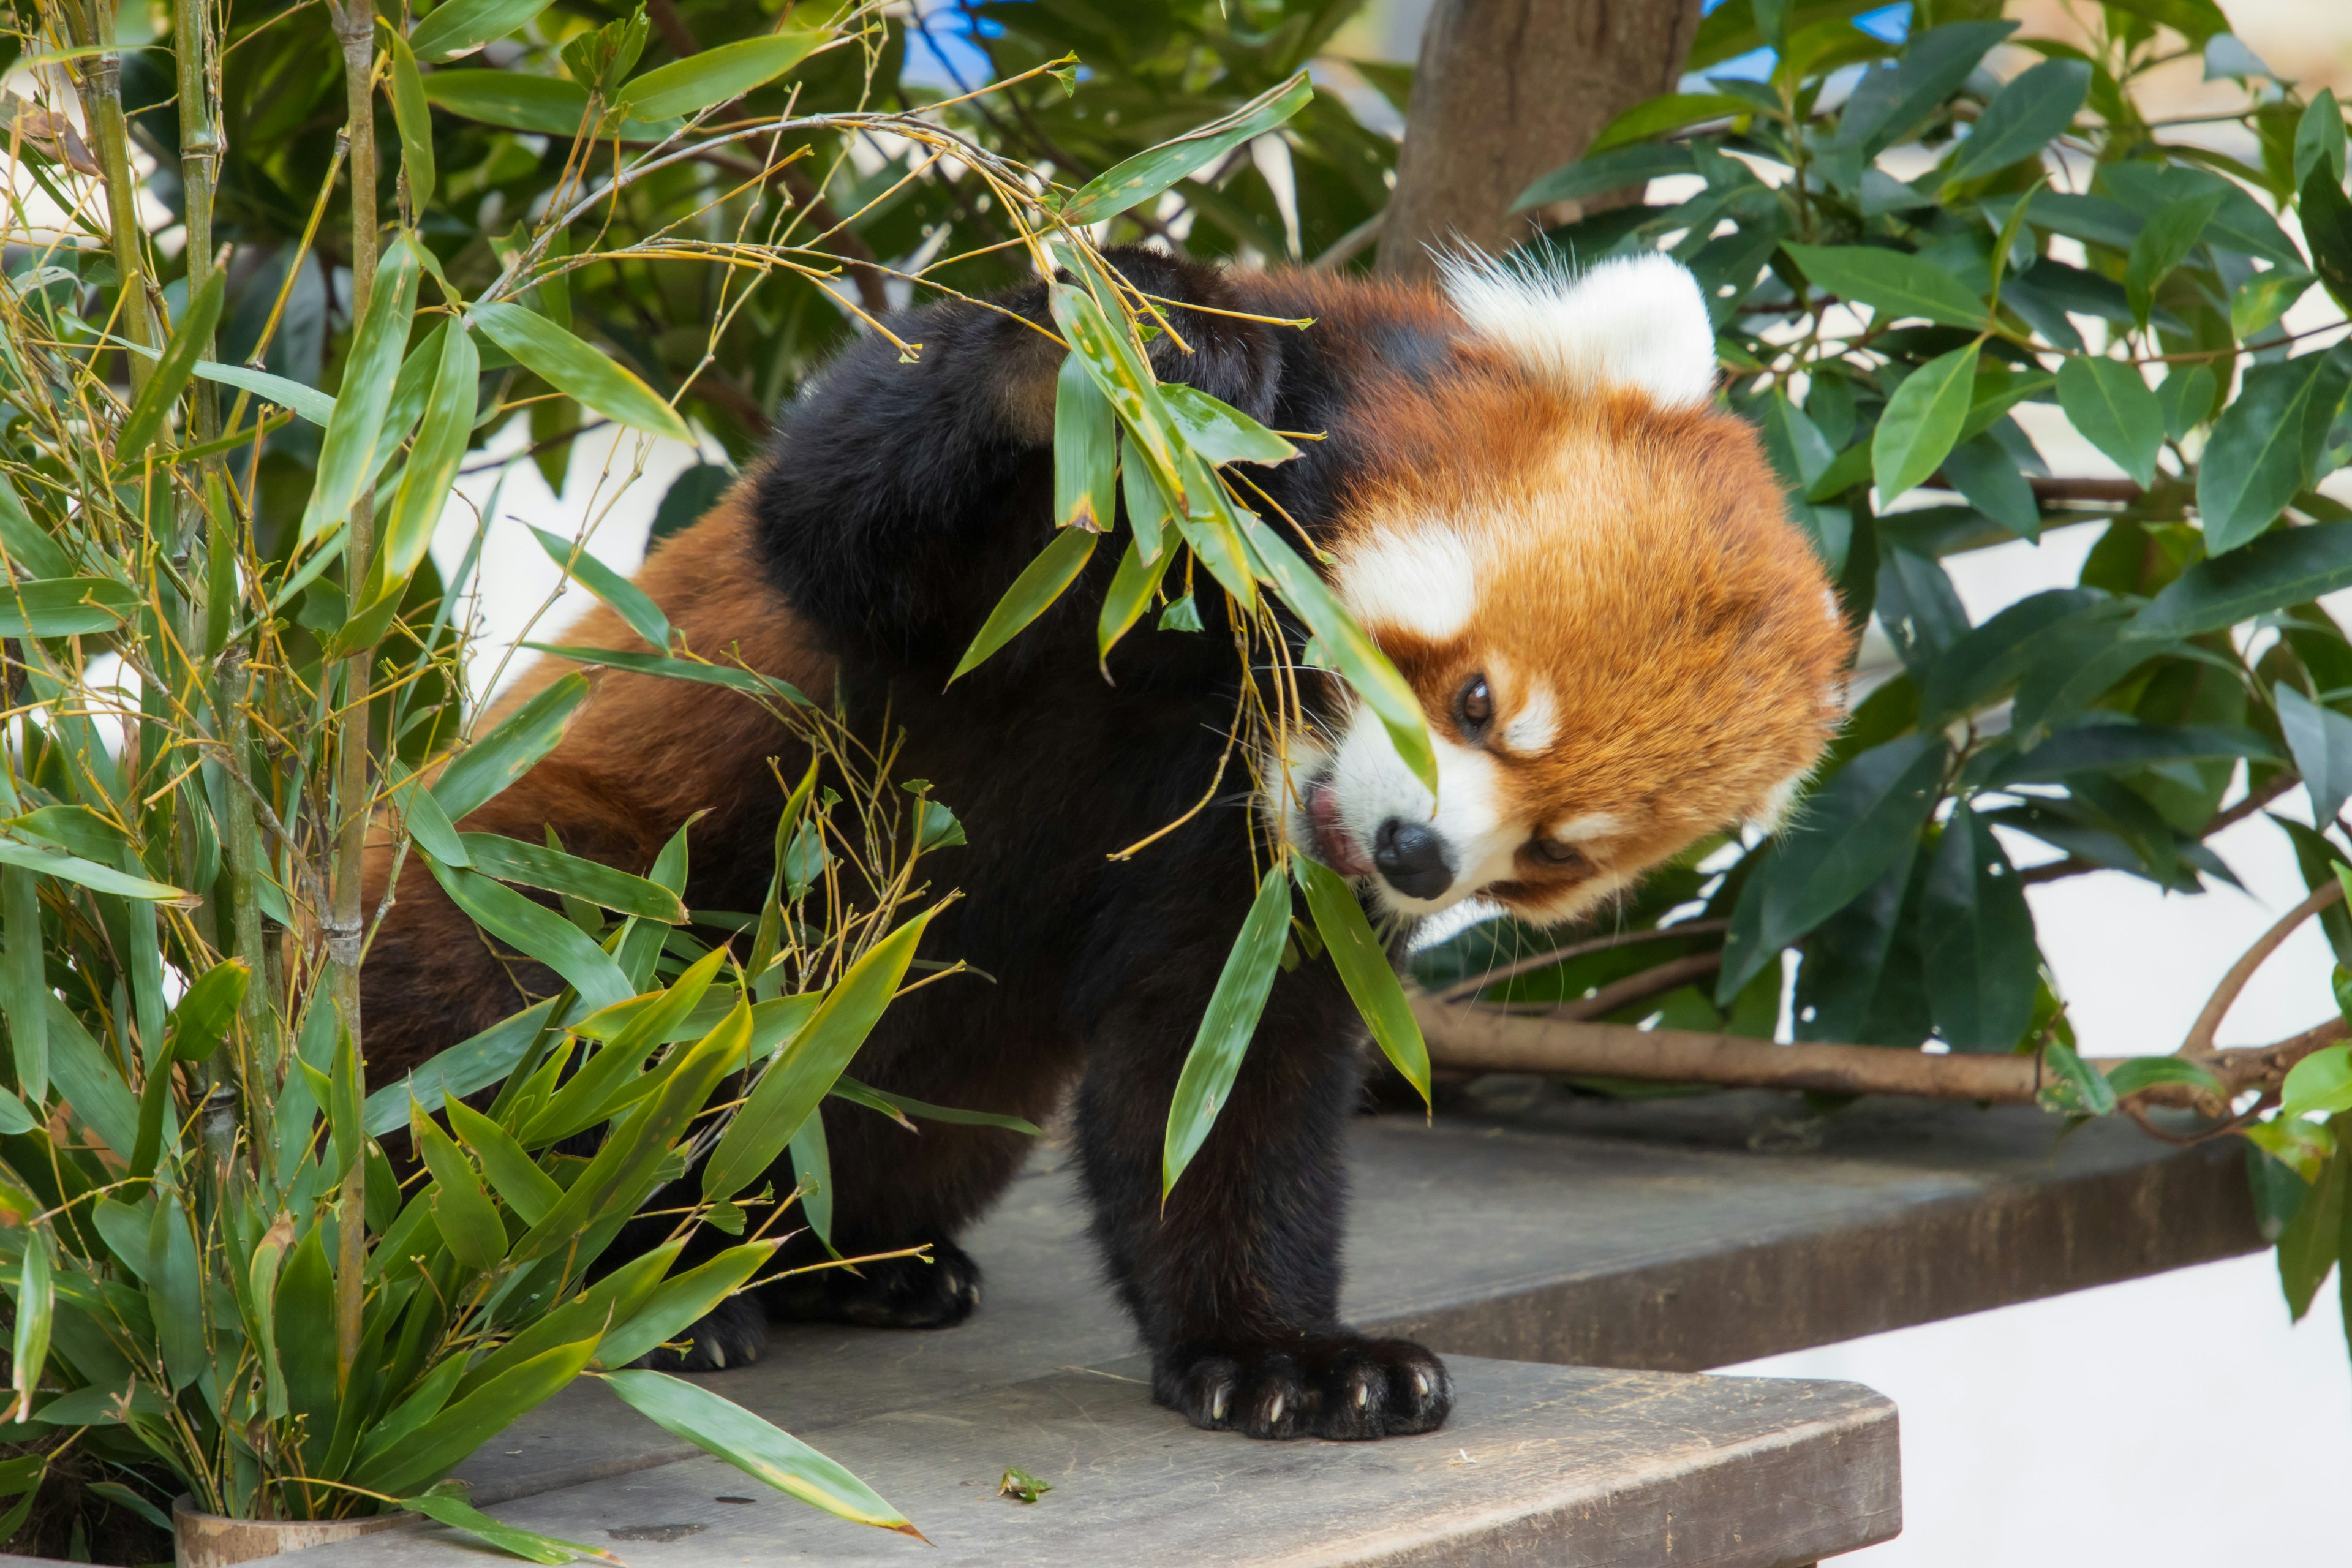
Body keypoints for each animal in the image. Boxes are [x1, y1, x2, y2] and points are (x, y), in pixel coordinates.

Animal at [357, 242, 1844, 1448]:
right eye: (1477, 700)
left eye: (1551, 856)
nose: (1416, 853)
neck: (1226, 701)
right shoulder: (1033, 574)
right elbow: (840, 506)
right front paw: (1118, 340)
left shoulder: (1251, 881)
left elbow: (1221, 1073)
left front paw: (1282, 1355)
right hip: (548, 882)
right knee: (528, 987)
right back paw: (624, 1276)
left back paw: (853, 1264)